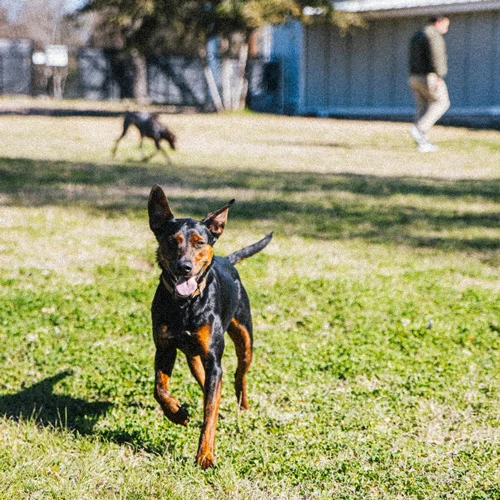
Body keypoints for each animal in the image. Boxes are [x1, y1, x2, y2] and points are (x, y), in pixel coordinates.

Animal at [147, 185, 274, 468]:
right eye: (172, 241)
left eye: (199, 242)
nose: (184, 267)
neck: (185, 305)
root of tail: (226, 259)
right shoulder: (164, 348)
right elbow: (160, 388)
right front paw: (177, 413)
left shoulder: (214, 359)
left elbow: (209, 413)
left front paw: (205, 455)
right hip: (194, 357)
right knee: (205, 380)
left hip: (244, 338)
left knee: (238, 374)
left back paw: (242, 406)